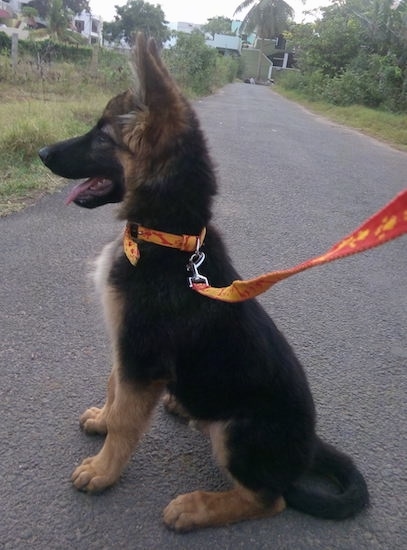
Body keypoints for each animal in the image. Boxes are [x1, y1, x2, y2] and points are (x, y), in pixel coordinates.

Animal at [39, 35, 372, 536]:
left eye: (102, 137)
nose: (40, 153)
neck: (167, 240)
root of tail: (307, 447)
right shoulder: (127, 349)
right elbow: (115, 390)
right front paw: (103, 417)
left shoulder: (143, 356)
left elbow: (126, 423)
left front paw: (102, 470)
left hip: (239, 432)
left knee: (268, 500)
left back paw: (195, 508)